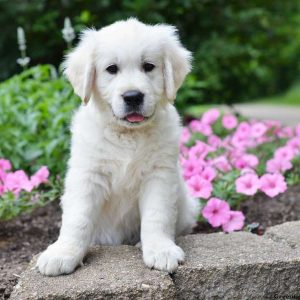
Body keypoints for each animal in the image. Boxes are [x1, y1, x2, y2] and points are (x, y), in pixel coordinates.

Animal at [37, 18, 199, 276]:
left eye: (148, 66)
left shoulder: (159, 174)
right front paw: (62, 253)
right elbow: (78, 218)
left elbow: (157, 215)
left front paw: (161, 250)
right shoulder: (88, 174)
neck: (127, 135)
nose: (133, 96)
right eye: (111, 69)